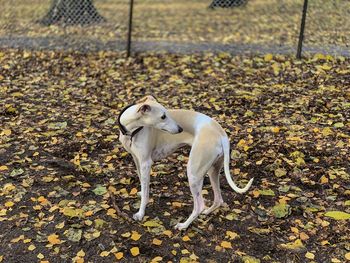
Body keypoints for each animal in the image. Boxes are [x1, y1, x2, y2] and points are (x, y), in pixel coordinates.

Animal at [119, 96, 253, 231]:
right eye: (163, 116)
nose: (180, 129)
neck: (131, 131)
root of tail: (221, 134)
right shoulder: (137, 159)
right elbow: (142, 182)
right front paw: (142, 193)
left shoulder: (146, 163)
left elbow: (145, 191)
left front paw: (140, 213)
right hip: (213, 170)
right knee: (218, 199)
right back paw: (207, 212)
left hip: (193, 173)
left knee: (199, 205)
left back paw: (183, 225)